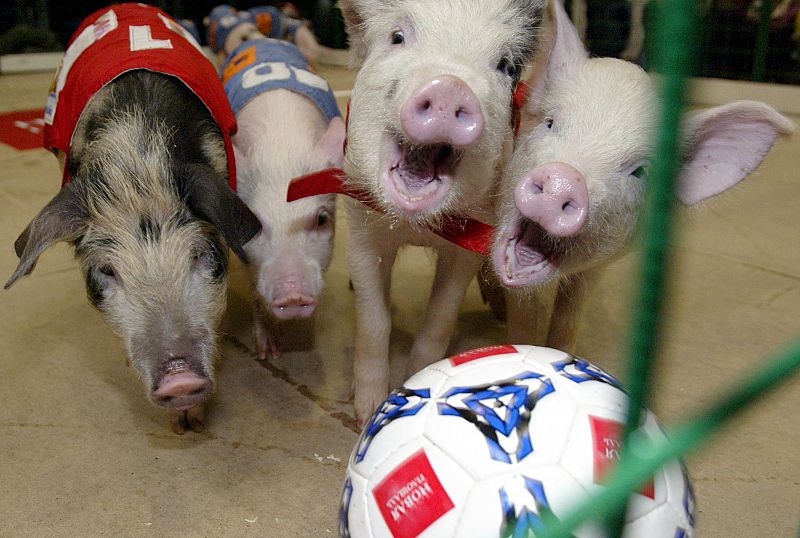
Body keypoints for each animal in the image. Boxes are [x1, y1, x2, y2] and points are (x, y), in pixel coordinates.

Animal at [4, 3, 260, 432]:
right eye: (107, 271)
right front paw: (180, 426)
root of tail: (126, 6)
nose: (179, 378)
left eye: (203, 256)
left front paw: (194, 423)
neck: (138, 162)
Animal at [338, 0, 552, 420]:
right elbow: (374, 321)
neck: (419, 228)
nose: (451, 87)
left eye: (504, 65)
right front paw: (365, 412)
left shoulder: (469, 242)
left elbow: (440, 317)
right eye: (397, 37)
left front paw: (416, 379)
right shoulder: (361, 227)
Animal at [494, 0, 792, 350]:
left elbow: (570, 317)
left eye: (641, 171)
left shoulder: (595, 268)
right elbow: (525, 321)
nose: (564, 179)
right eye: (550, 123)